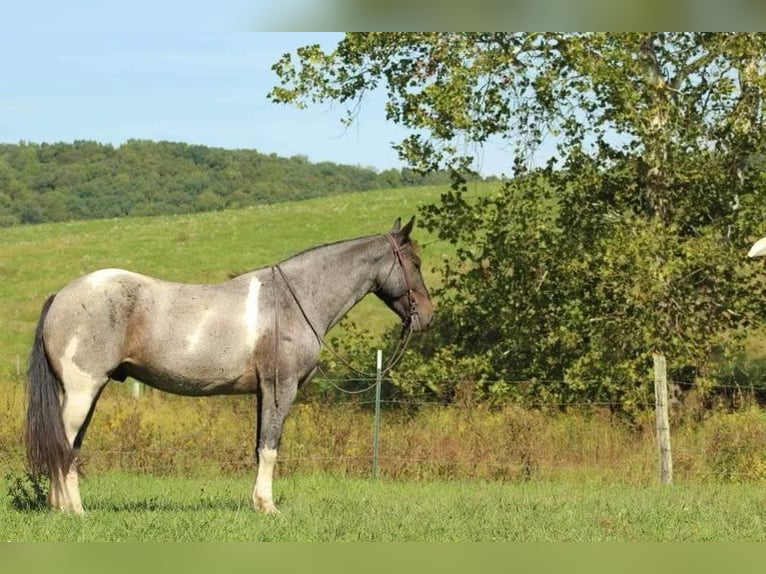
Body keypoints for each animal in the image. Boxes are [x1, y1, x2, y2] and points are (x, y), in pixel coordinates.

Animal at [25, 218, 432, 516]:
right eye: (414, 263)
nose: (426, 317)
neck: (290, 302)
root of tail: (61, 296)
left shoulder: (263, 392)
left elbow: (258, 447)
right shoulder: (281, 389)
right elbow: (270, 447)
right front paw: (268, 507)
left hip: (84, 392)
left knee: (69, 445)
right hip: (83, 390)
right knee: (62, 444)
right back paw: (72, 511)